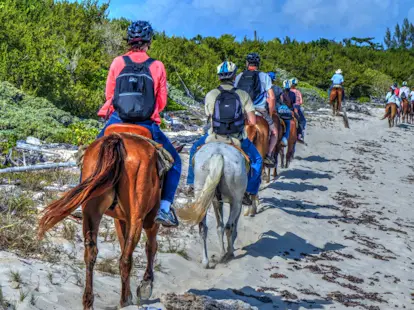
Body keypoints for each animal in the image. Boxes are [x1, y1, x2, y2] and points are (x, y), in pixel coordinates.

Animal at [37, 125, 176, 310]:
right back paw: (124, 301)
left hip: (91, 211)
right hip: (138, 218)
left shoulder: (121, 219)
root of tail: (117, 140)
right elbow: (150, 247)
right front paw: (146, 286)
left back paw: (89, 301)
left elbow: (126, 244)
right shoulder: (149, 220)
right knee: (126, 259)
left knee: (91, 253)